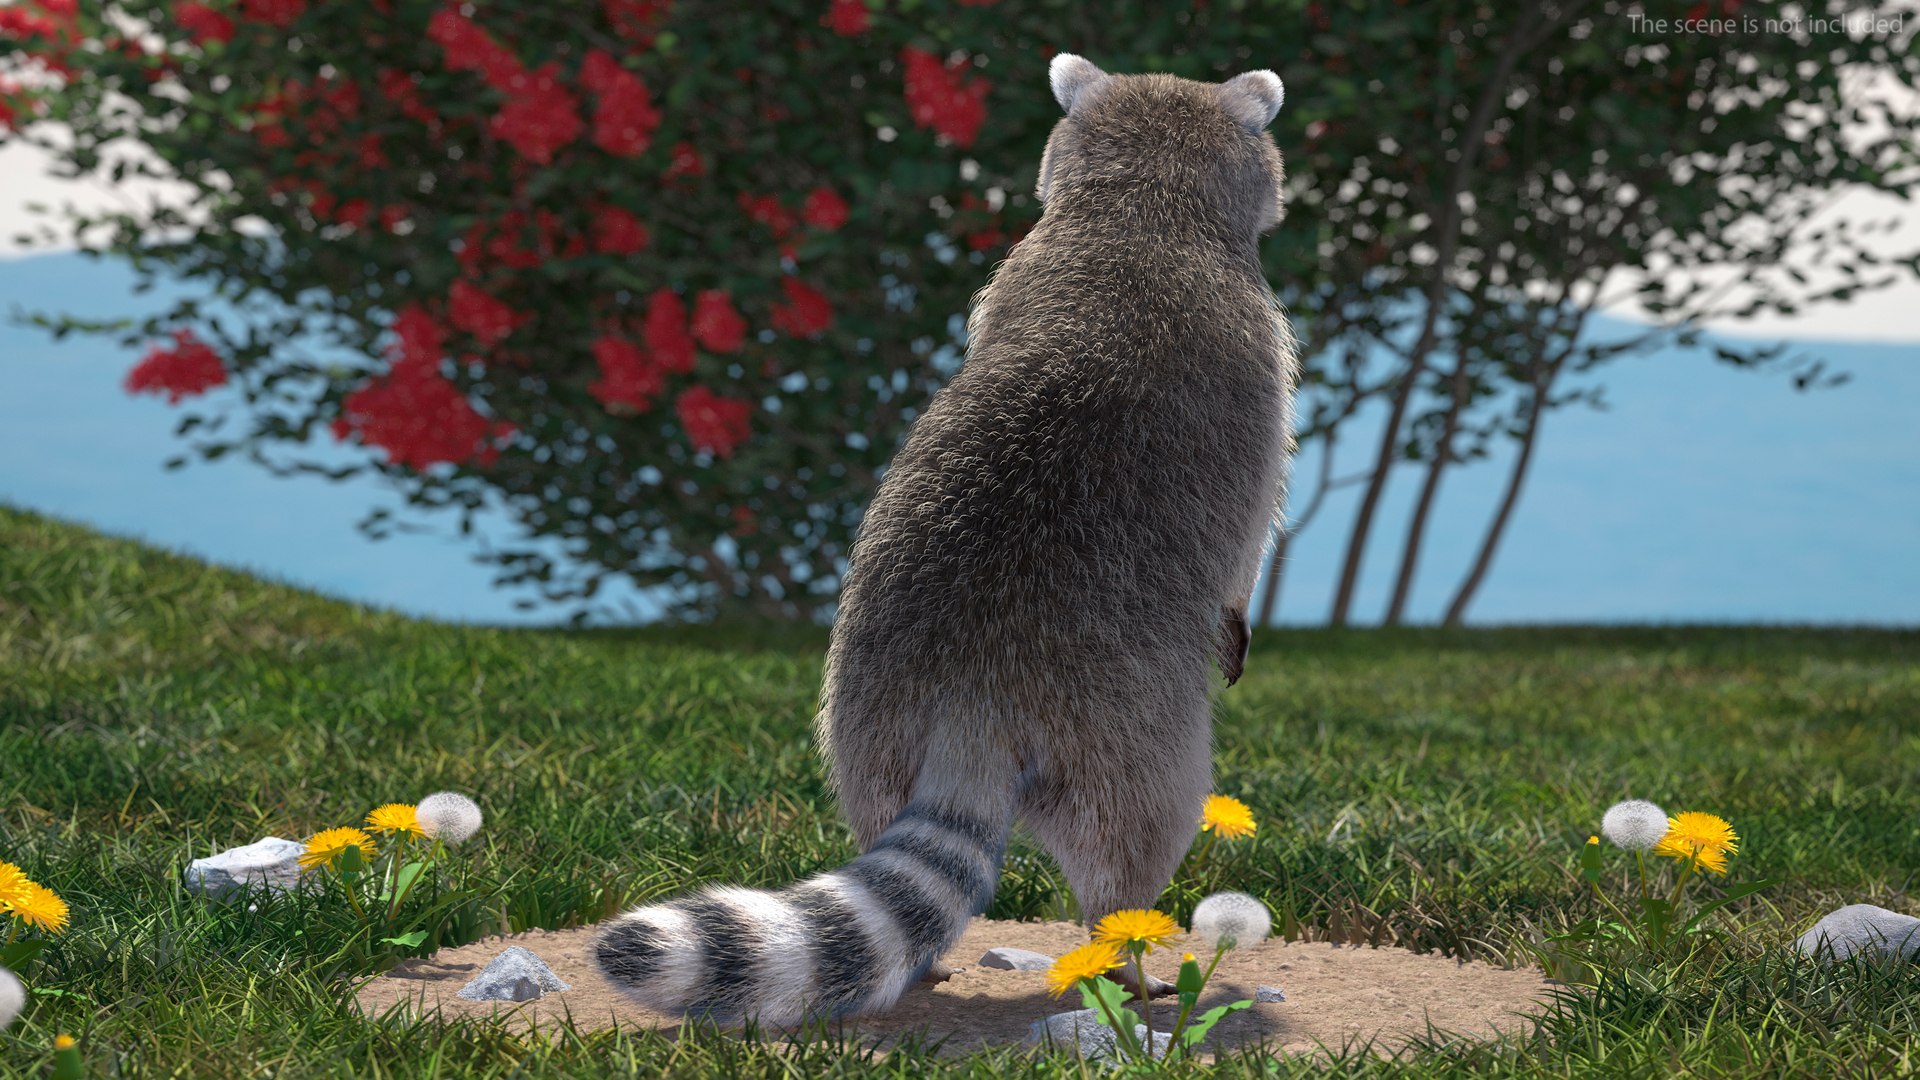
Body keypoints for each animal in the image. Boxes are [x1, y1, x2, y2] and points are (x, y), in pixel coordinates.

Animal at [595, 53, 1298, 1025]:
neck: (1140, 208)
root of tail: (975, 691)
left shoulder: (1011, 280)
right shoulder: (1260, 352)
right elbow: (1256, 510)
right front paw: (1239, 605)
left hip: (863, 703)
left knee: (872, 801)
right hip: (1127, 724)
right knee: (1136, 831)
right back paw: (1123, 945)